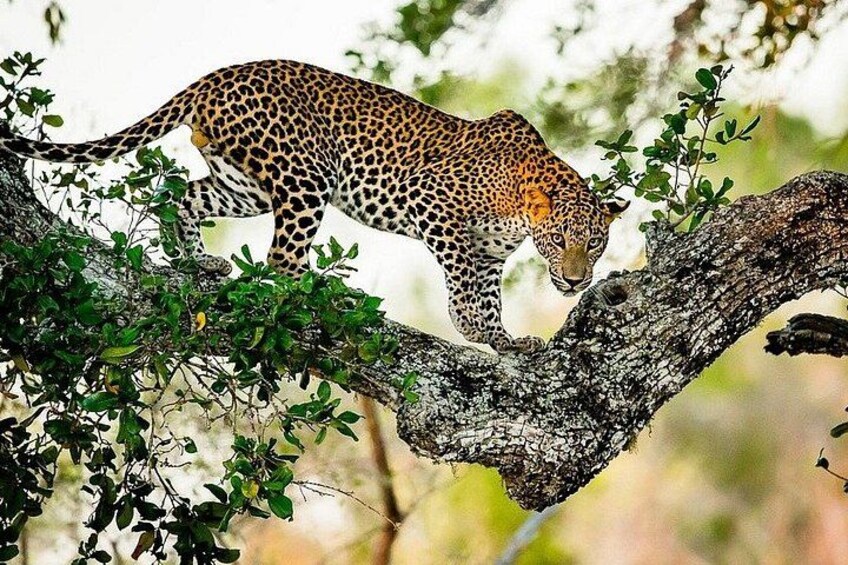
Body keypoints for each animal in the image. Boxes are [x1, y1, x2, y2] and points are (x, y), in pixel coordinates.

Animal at [0, 59, 628, 353]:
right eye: (559, 240)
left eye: (595, 242)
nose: (576, 281)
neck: (519, 204)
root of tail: (213, 77)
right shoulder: (432, 203)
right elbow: (463, 286)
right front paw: (471, 327)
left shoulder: (490, 253)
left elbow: (487, 295)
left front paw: (502, 340)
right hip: (306, 177)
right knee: (281, 264)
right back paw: (326, 294)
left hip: (246, 184)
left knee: (180, 195)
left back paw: (197, 262)